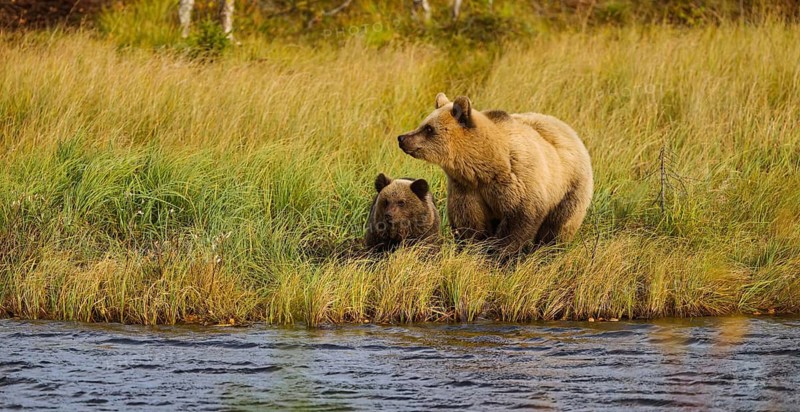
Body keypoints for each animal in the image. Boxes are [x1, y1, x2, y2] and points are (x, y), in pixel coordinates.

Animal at [397, 93, 593, 256]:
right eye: (423, 123)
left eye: (429, 129)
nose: (402, 138)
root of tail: (568, 129)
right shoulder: (467, 189)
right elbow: (469, 223)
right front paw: (473, 247)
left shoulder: (519, 182)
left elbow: (518, 222)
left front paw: (498, 253)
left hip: (570, 187)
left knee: (558, 226)